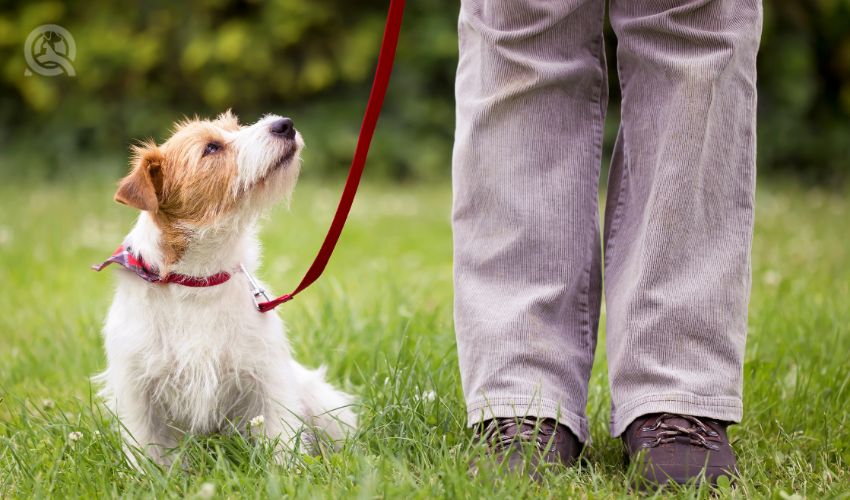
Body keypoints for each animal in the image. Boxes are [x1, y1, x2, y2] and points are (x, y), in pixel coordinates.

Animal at [94, 111, 356, 466]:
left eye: (235, 127)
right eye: (212, 147)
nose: (284, 124)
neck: (197, 282)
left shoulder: (266, 377)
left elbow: (282, 435)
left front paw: (289, 472)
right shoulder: (139, 392)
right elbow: (148, 451)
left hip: (323, 403)